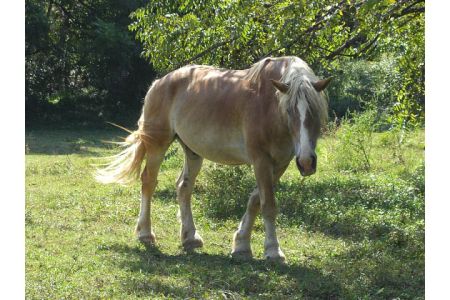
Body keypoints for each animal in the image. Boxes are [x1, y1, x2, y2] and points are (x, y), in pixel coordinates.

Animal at [96, 56, 330, 262]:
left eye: (315, 111)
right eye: (289, 110)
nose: (307, 162)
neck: (269, 106)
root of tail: (158, 83)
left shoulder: (280, 163)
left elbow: (255, 201)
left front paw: (241, 245)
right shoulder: (261, 161)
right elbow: (268, 205)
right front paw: (273, 251)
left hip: (192, 152)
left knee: (184, 188)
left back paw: (190, 238)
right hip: (157, 145)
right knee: (149, 182)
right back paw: (145, 233)